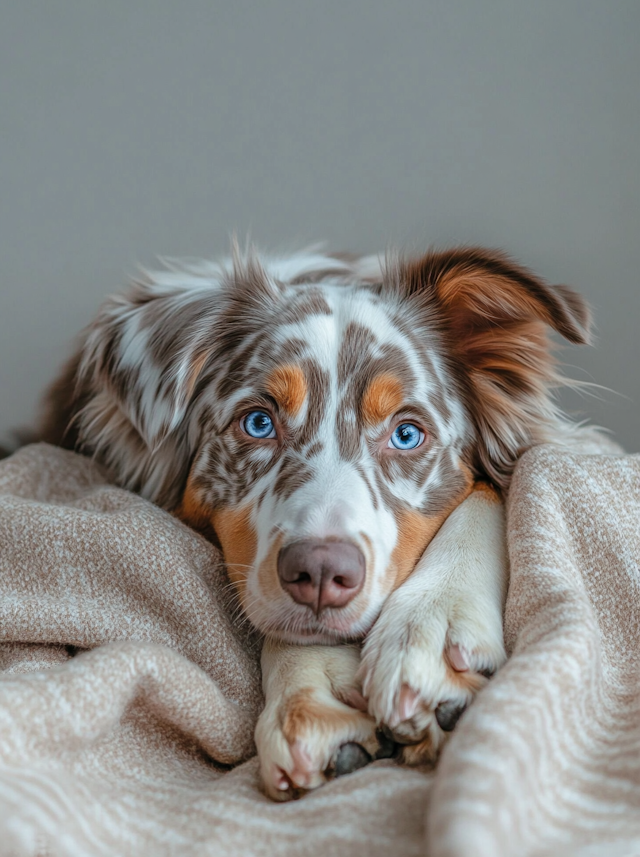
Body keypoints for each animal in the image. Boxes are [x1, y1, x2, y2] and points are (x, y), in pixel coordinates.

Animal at [38, 241, 592, 796]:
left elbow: (487, 493)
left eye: (407, 434)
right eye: (258, 423)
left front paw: (430, 627)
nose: (323, 573)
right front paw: (313, 693)